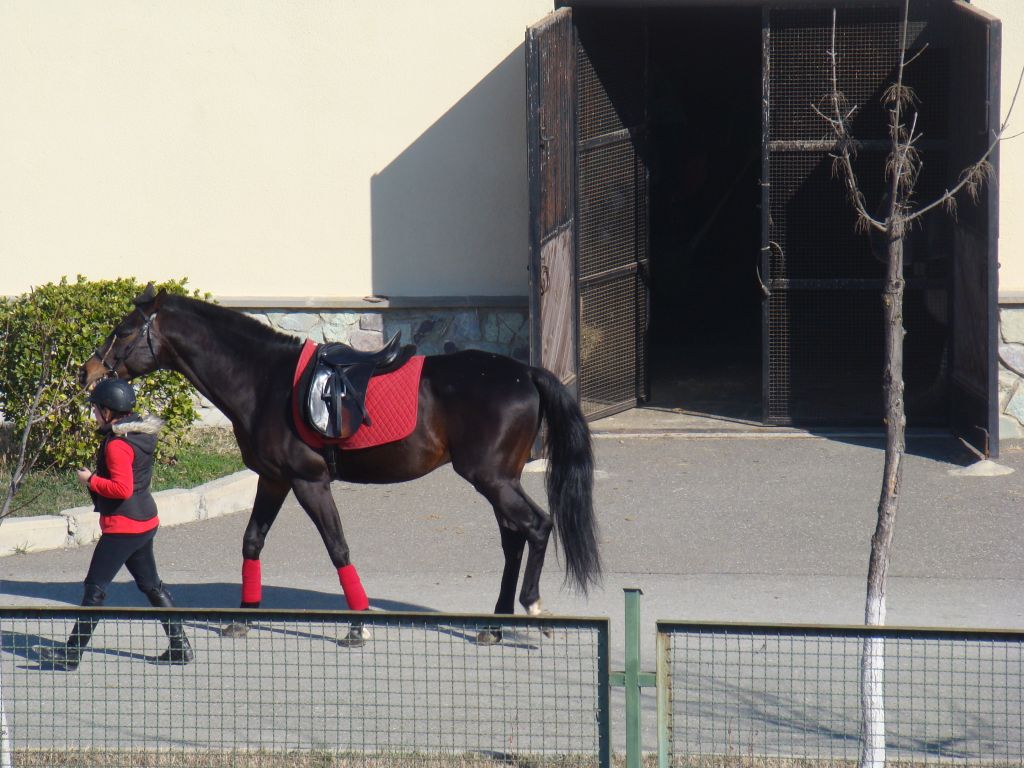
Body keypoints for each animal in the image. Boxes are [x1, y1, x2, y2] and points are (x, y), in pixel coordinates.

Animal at [79, 286, 598, 647]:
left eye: (125, 330)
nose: (88, 371)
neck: (265, 381)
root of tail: (525, 372)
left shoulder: (309, 482)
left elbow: (338, 548)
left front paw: (357, 627)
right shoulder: (274, 479)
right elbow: (252, 540)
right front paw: (244, 614)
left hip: (491, 479)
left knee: (537, 526)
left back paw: (530, 606)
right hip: (497, 480)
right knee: (514, 539)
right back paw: (496, 623)